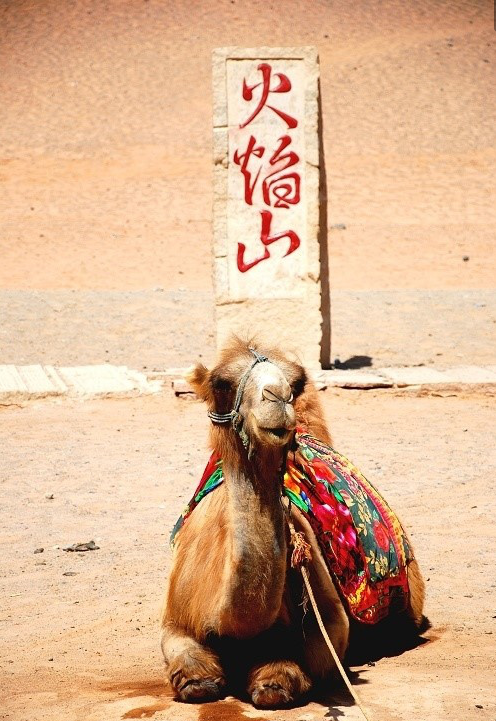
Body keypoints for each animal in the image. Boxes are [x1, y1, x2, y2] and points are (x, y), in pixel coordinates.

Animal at [161, 338, 424, 708]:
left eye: (296, 384)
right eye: (221, 383)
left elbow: (290, 671)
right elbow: (191, 672)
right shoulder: (176, 616)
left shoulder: (330, 623)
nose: (278, 396)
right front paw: (199, 680)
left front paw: (274, 679)